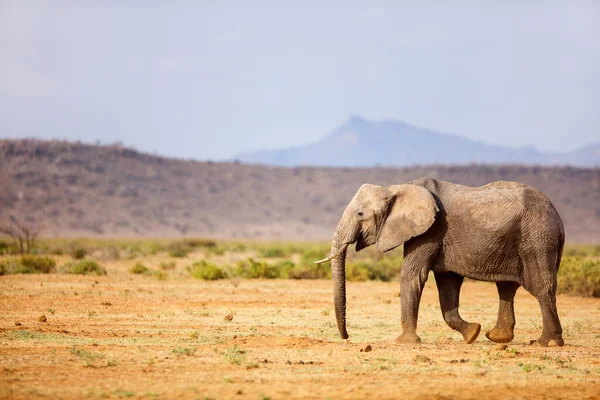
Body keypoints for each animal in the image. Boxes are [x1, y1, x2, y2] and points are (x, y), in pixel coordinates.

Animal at [316, 178, 564, 346]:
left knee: (541, 288)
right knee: (507, 287)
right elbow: (448, 284)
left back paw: (546, 343)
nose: (346, 337)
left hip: (536, 239)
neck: (396, 188)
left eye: (360, 214)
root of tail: (558, 217)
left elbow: (412, 274)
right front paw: (472, 334)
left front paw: (405, 342)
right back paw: (497, 337)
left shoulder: (430, 230)